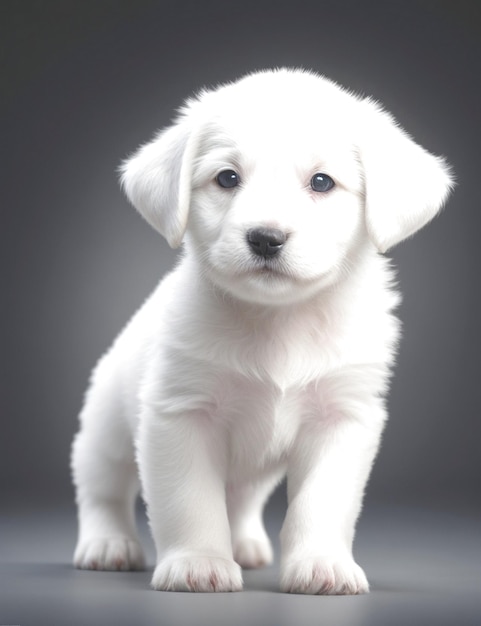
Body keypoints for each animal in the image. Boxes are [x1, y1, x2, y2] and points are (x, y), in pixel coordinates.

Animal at [69, 68, 452, 588]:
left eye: (321, 182)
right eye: (227, 178)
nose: (266, 238)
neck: (280, 321)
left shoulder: (343, 418)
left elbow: (322, 502)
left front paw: (321, 563)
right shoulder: (181, 413)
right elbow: (190, 500)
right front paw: (199, 562)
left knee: (241, 500)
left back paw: (246, 543)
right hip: (105, 430)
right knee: (103, 491)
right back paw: (108, 543)